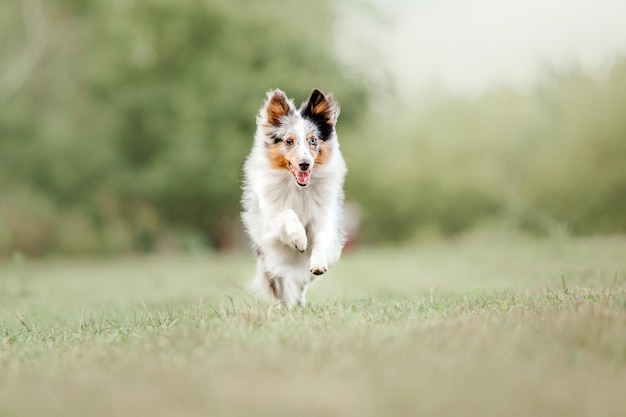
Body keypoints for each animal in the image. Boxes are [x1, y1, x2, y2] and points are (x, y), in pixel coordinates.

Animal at [240, 88, 346, 308]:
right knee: (280, 284)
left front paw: (318, 262)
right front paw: (299, 238)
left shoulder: (325, 218)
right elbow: (287, 214)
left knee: (300, 283)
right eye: (289, 141)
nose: (305, 164)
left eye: (313, 140)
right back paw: (285, 306)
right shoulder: (270, 227)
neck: (299, 189)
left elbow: (323, 237)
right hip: (270, 260)